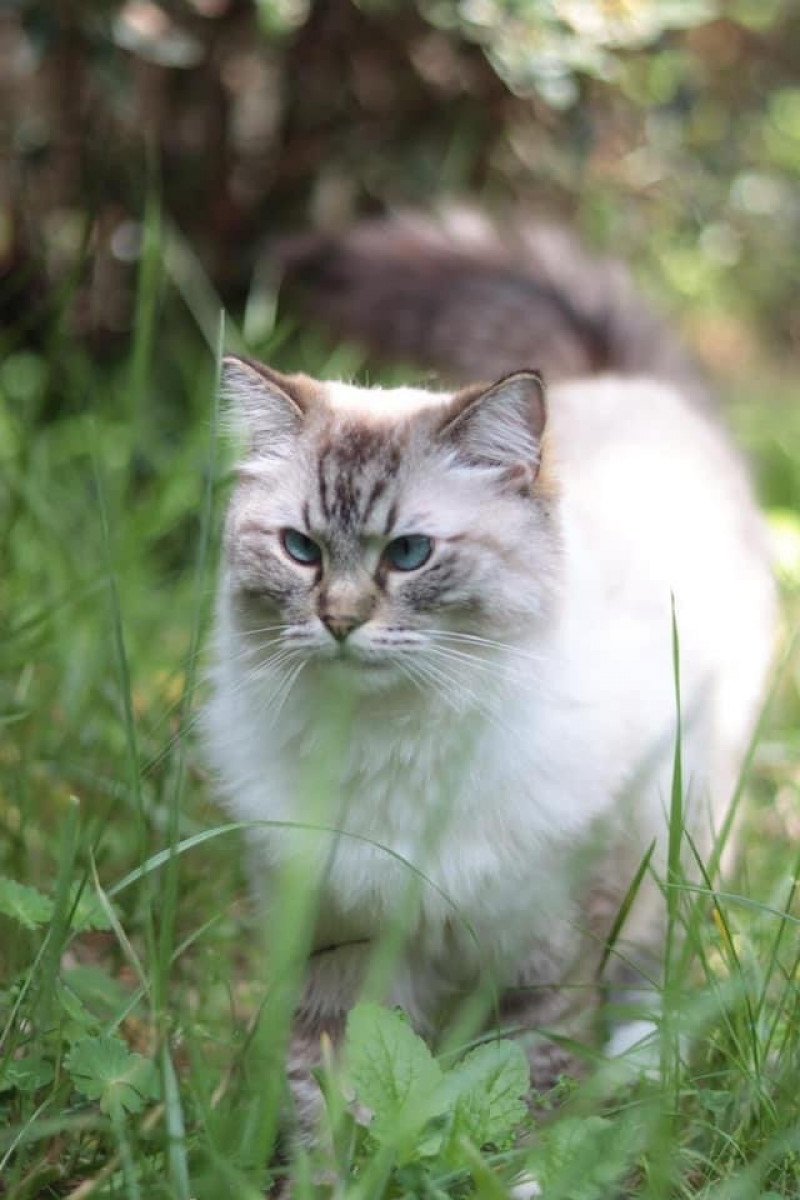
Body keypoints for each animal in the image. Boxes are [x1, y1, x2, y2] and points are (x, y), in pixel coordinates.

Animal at [203, 211, 777, 1137]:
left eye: (408, 554)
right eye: (301, 549)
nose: (339, 621)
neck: (390, 747)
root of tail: (631, 386)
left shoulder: (541, 957)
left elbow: (524, 1097)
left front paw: (533, 1159)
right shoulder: (339, 946)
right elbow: (330, 1108)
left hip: (678, 830)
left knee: (656, 974)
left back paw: (640, 1075)